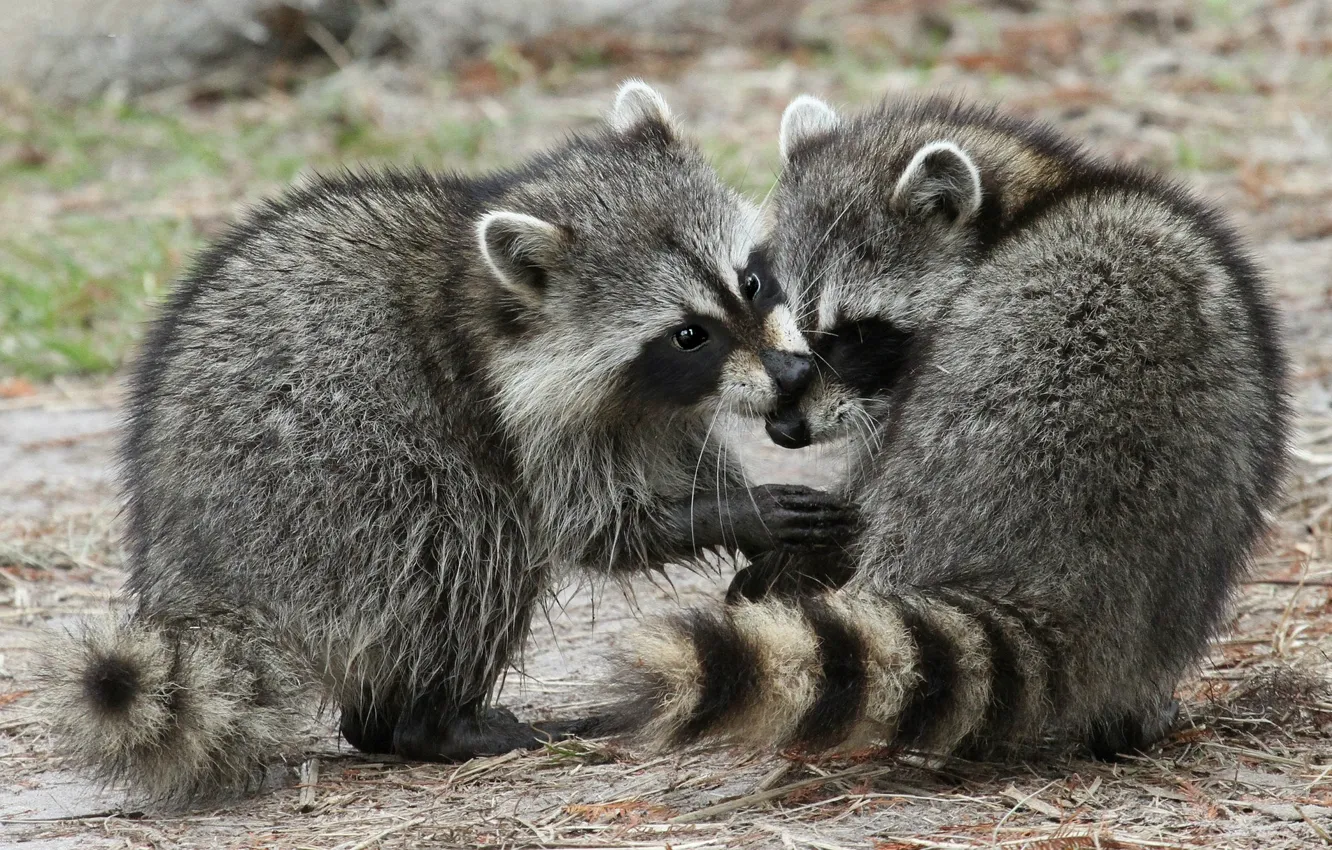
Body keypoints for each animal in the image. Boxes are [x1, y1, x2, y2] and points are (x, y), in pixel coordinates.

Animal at [40, 82, 853, 806]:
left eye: (751, 281)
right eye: (689, 334)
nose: (792, 373)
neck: (492, 297)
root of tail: (192, 575)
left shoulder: (650, 407)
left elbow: (683, 456)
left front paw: (747, 517)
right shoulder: (516, 413)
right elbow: (595, 528)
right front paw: (741, 513)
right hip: (337, 505)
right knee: (474, 542)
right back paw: (437, 725)